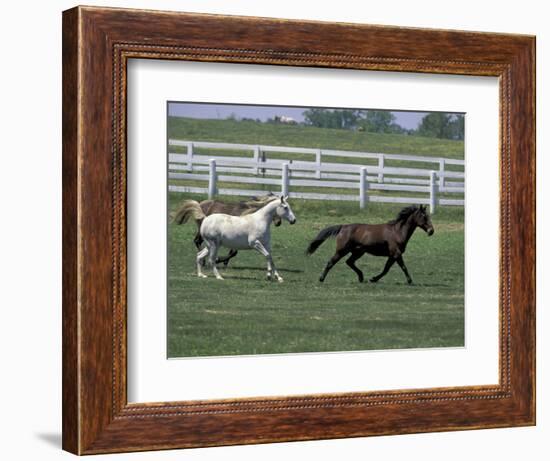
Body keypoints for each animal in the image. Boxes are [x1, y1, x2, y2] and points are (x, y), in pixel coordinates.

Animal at [306, 204, 436, 282]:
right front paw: (410, 281)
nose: (431, 231)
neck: (397, 231)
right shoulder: (396, 253)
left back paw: (361, 277)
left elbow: (386, 269)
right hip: (342, 250)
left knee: (349, 262)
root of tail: (343, 227)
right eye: (424, 217)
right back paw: (321, 278)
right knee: (331, 262)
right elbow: (402, 267)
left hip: (358, 252)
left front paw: (373, 279)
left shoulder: (392, 255)